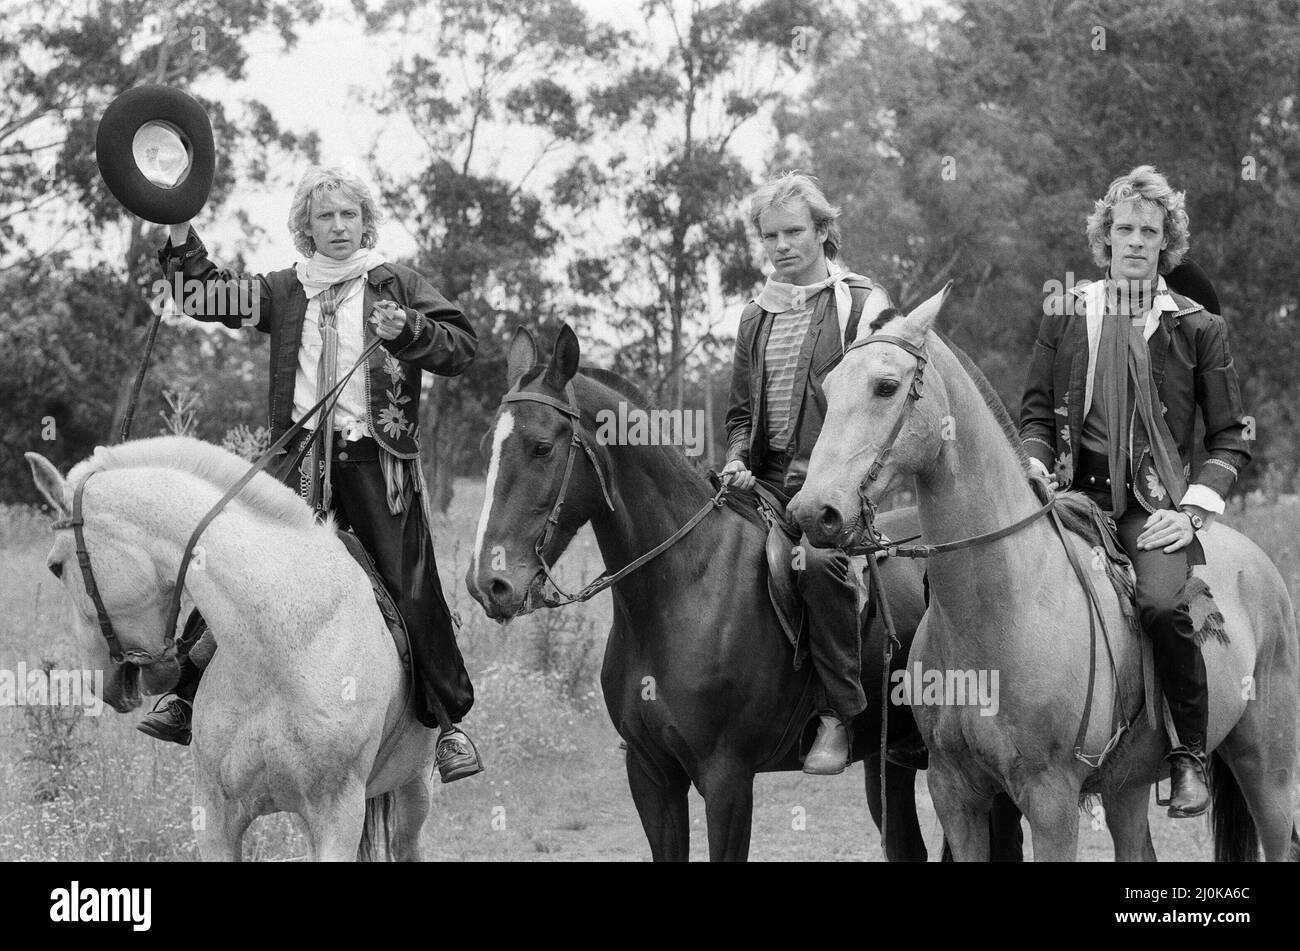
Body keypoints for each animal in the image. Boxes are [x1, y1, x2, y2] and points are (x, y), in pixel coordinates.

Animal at [24, 439, 436, 862]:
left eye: (56, 566)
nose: (100, 681)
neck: (278, 648)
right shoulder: (214, 814)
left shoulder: (338, 816)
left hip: (415, 787)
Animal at [467, 327, 1024, 862]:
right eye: (486, 446)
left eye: (542, 447)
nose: (488, 584)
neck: (681, 593)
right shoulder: (650, 776)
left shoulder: (727, 779)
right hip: (891, 760)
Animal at [785, 288, 1300, 862]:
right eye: (829, 388)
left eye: (886, 386)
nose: (813, 512)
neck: (1002, 608)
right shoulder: (954, 792)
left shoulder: (1050, 798)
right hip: (1128, 786)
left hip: (1267, 765)